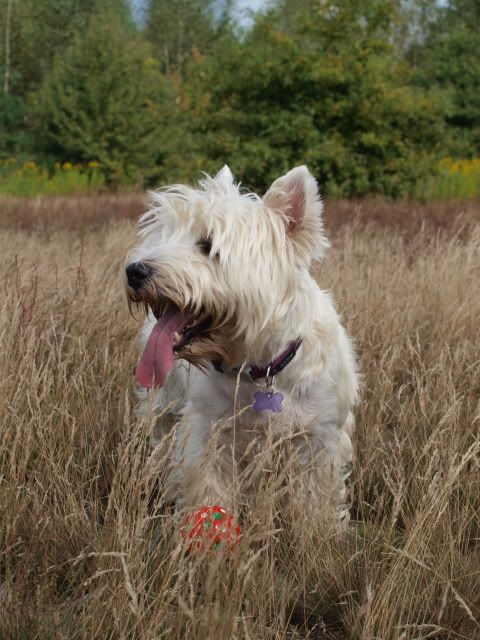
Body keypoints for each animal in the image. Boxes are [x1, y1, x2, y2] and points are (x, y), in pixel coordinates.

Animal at [125, 165, 358, 527]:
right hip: (163, 403)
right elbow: (209, 494)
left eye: (208, 245)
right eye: (162, 236)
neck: (259, 367)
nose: (135, 270)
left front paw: (318, 533)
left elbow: (315, 499)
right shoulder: (207, 434)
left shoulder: (320, 438)